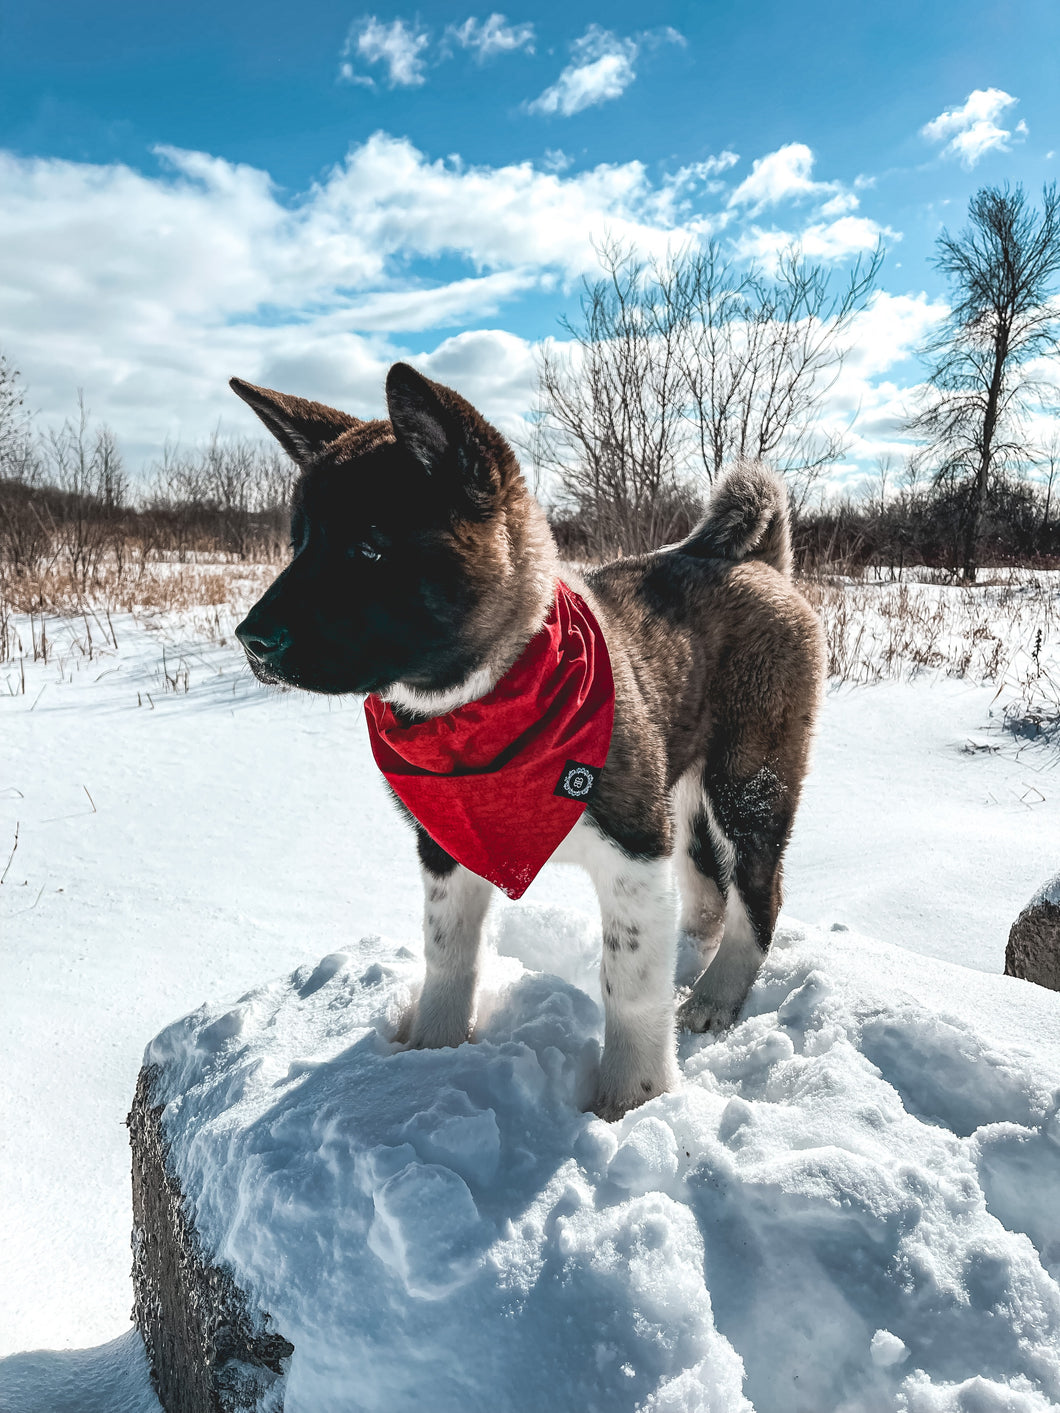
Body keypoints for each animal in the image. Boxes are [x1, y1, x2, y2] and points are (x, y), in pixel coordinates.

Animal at [234, 370, 831, 1119]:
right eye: (298, 545)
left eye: (369, 548)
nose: (251, 639)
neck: (482, 705)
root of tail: (760, 564)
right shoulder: (446, 847)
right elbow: (448, 954)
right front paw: (427, 1060)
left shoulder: (635, 846)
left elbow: (629, 981)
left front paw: (630, 1099)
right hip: (691, 791)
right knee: (707, 886)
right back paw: (696, 966)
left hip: (748, 781)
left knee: (758, 891)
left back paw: (715, 997)